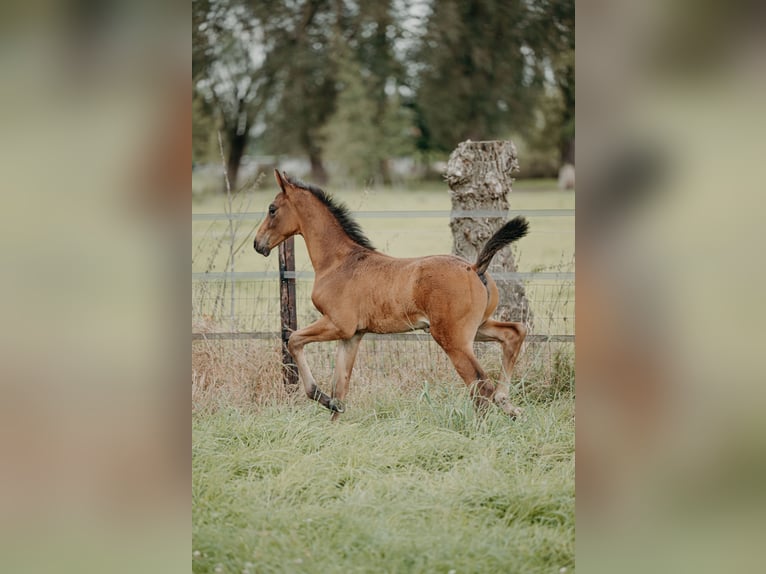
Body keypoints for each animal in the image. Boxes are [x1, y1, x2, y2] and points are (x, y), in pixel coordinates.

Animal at [255, 171, 532, 424]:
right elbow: (341, 386)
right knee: (514, 333)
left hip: (453, 338)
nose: (258, 244)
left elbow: (293, 340)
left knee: (479, 384)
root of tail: (474, 268)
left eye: (272, 209)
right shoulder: (352, 335)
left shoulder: (337, 324)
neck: (339, 262)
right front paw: (334, 417)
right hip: (478, 327)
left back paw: (482, 425)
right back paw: (508, 404)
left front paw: (321, 397)